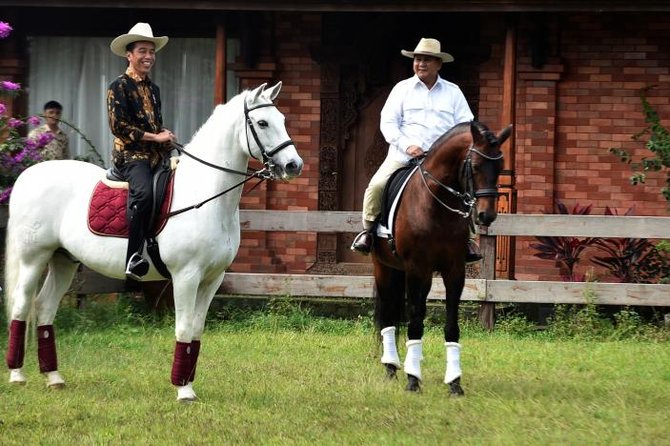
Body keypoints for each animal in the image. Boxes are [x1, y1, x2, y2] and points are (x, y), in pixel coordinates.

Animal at [4, 82, 304, 402]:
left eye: (282, 119)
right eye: (262, 123)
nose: (293, 165)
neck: (204, 194)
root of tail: (28, 174)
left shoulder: (213, 279)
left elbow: (196, 331)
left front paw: (187, 383)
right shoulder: (186, 276)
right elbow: (184, 328)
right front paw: (183, 391)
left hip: (63, 260)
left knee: (45, 308)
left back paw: (54, 378)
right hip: (34, 258)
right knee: (21, 305)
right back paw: (17, 375)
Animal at [376, 119, 512, 394]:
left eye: (500, 167)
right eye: (476, 165)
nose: (486, 216)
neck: (436, 204)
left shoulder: (454, 270)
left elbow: (451, 326)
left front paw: (454, 383)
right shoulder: (416, 268)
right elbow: (415, 322)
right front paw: (412, 380)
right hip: (383, 267)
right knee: (387, 315)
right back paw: (391, 367)